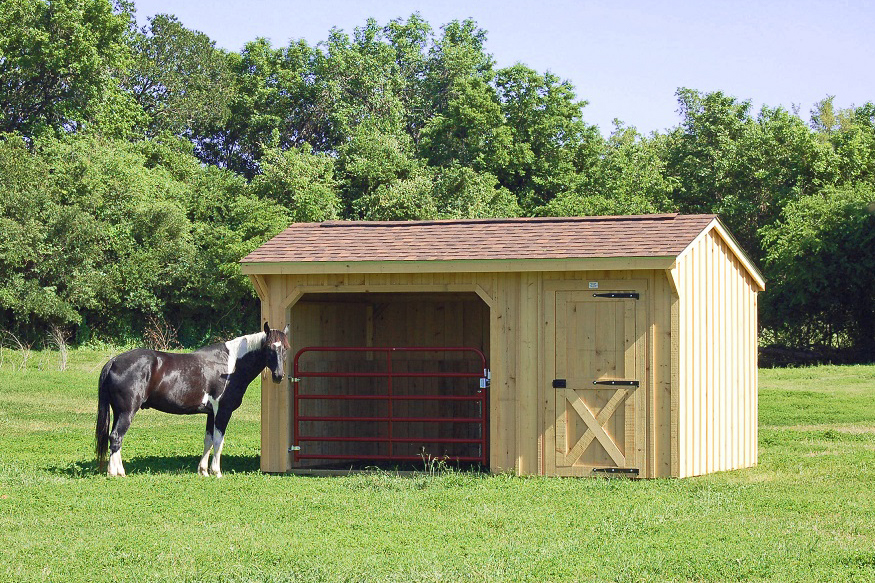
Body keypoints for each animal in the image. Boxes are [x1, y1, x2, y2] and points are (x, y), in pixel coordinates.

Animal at [95, 324, 290, 480]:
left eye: (285, 348)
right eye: (269, 348)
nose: (278, 376)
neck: (231, 365)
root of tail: (114, 361)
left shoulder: (211, 413)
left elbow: (208, 440)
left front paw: (203, 471)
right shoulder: (223, 411)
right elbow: (219, 441)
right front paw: (216, 472)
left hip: (119, 412)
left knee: (116, 438)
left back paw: (119, 471)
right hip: (127, 412)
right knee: (116, 437)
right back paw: (114, 473)